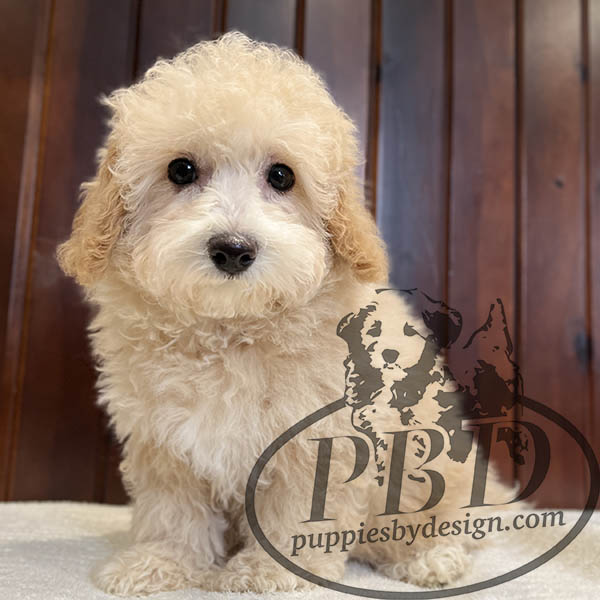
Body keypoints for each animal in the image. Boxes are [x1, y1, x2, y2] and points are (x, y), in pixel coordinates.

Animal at [57, 33, 515, 595]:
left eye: (281, 176)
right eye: (180, 170)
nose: (233, 249)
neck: (231, 330)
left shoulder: (318, 439)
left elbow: (297, 508)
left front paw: (268, 573)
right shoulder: (163, 439)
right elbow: (173, 508)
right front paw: (161, 563)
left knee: (442, 520)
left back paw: (430, 559)